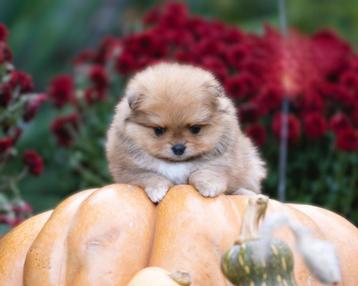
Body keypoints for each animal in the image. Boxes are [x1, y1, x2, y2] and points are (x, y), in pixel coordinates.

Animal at [105, 62, 264, 202]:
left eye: (195, 129)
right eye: (158, 130)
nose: (178, 148)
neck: (176, 163)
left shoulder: (220, 162)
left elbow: (205, 172)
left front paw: (208, 187)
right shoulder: (129, 170)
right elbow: (150, 176)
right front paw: (157, 191)